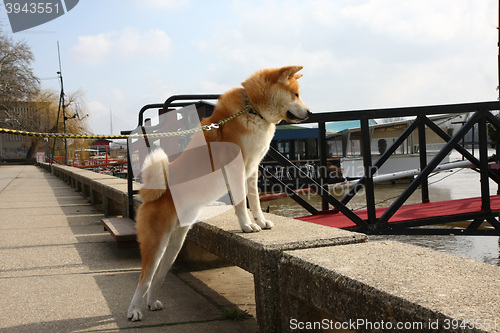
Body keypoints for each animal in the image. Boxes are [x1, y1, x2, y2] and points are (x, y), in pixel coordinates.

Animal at [128, 65, 308, 320]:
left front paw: (261, 222)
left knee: (157, 278)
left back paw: (152, 302)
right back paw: (134, 310)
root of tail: (151, 193)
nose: (310, 112)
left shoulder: (252, 170)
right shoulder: (236, 168)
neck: (252, 110)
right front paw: (247, 226)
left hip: (174, 245)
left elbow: (255, 201)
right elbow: (241, 203)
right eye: (296, 94)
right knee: (143, 279)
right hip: (155, 243)